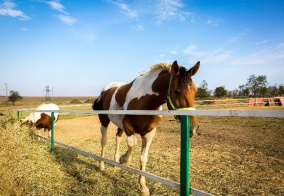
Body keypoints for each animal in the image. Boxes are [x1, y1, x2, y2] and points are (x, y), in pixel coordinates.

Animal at [92, 60, 200, 194]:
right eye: (176, 91)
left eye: (195, 90)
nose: (194, 128)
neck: (145, 101)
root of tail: (105, 89)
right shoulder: (128, 127)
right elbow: (132, 144)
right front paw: (124, 159)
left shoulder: (149, 134)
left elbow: (143, 158)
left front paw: (143, 187)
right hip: (104, 120)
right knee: (104, 141)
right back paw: (102, 165)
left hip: (119, 125)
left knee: (117, 138)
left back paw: (115, 160)